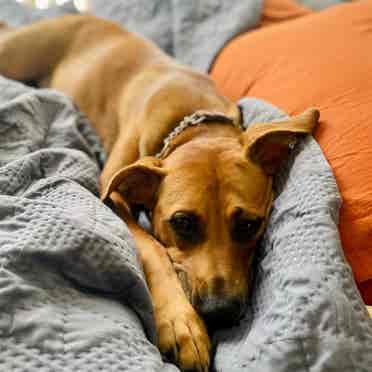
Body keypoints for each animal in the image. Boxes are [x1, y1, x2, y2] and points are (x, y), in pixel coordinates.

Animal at [0, 15, 320, 372]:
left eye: (250, 225)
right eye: (182, 223)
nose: (220, 312)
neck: (194, 121)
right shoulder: (112, 191)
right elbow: (152, 247)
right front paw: (182, 324)